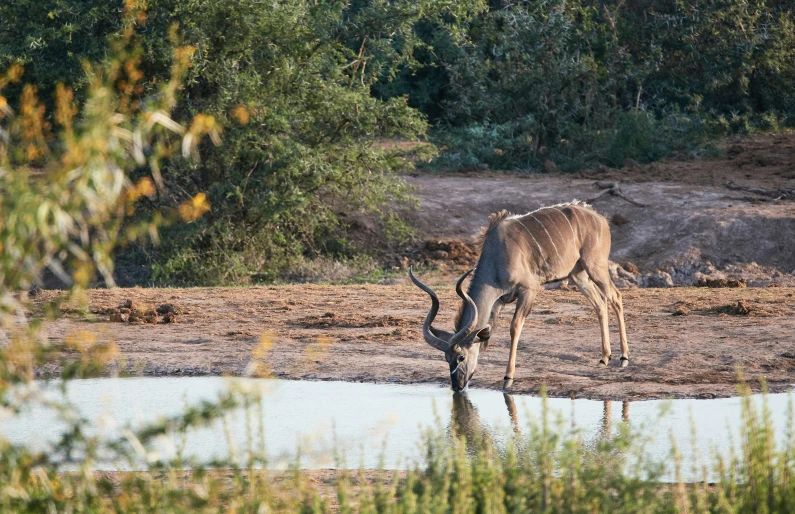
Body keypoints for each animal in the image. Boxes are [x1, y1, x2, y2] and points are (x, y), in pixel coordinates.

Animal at [410, 200, 628, 388]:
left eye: (461, 356)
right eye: (446, 358)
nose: (457, 386)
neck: (496, 258)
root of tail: (601, 219)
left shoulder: (529, 289)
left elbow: (514, 327)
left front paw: (508, 377)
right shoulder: (498, 302)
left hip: (596, 267)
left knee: (615, 297)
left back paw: (624, 357)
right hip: (579, 275)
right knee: (600, 303)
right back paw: (604, 357)